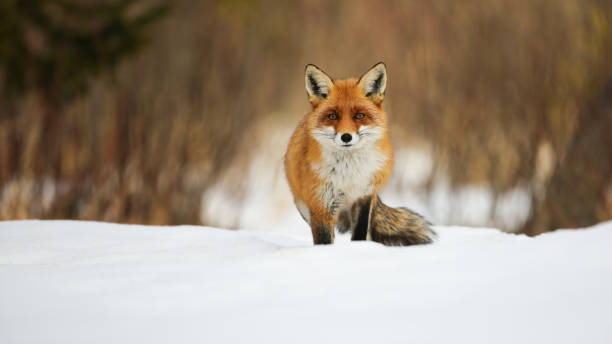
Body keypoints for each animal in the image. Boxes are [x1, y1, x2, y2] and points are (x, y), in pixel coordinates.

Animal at [286, 61, 436, 245]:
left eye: (359, 115)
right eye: (332, 116)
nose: (346, 137)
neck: (348, 174)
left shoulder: (363, 197)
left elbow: (360, 234)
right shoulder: (321, 205)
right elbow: (324, 239)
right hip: (305, 207)